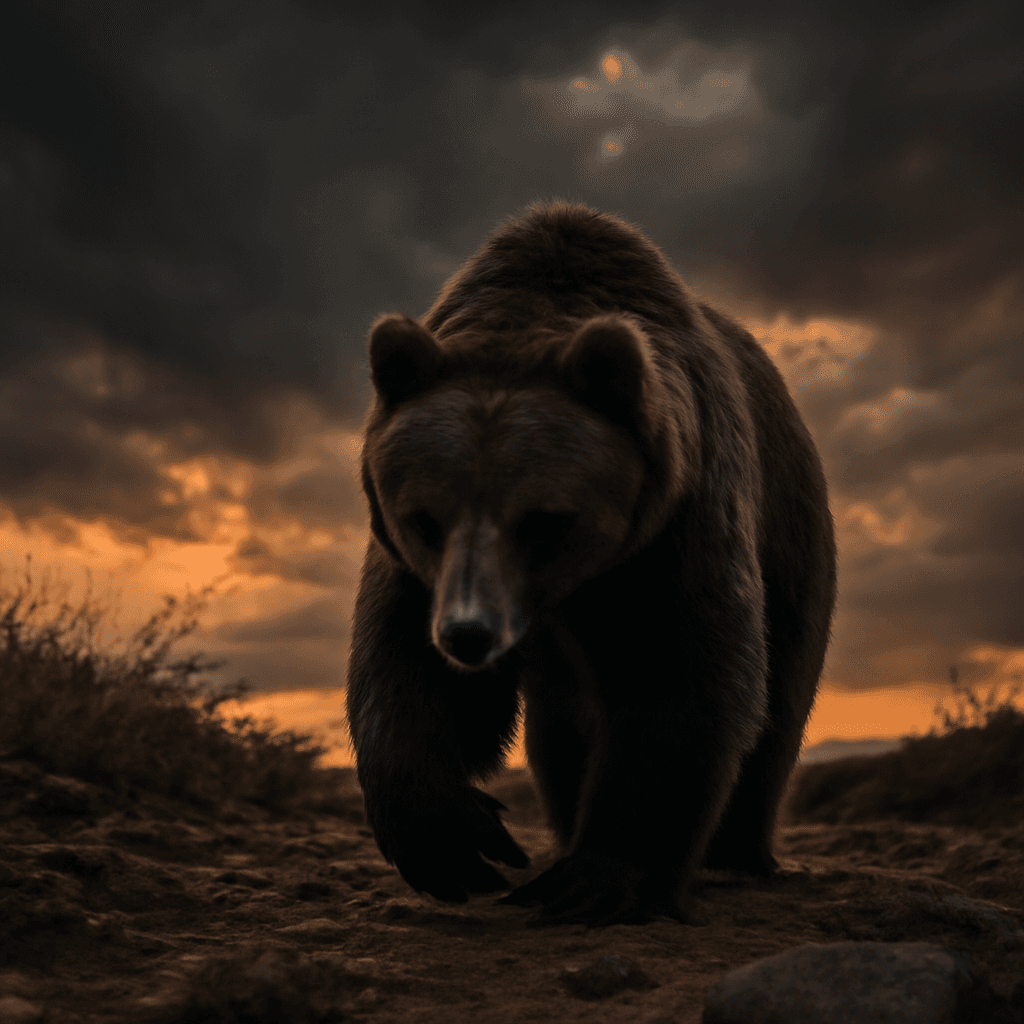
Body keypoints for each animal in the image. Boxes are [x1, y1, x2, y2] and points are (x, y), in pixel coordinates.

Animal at [346, 200, 836, 926]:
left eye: (545, 519)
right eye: (424, 518)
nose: (469, 634)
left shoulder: (678, 522)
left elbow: (684, 674)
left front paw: (597, 878)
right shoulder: (415, 570)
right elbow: (402, 664)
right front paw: (455, 842)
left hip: (791, 532)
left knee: (780, 699)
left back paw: (738, 852)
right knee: (562, 729)